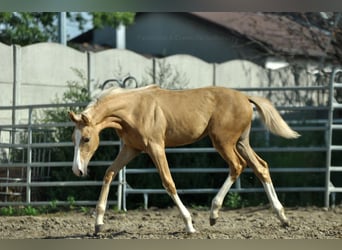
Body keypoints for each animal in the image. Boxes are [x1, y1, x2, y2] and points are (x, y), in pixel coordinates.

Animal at [68, 85, 298, 233]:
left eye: (86, 138)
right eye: (73, 138)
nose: (77, 170)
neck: (133, 109)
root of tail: (245, 98)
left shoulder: (156, 147)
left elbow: (168, 182)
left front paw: (189, 224)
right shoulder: (131, 149)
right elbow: (109, 173)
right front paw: (98, 224)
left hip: (223, 142)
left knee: (237, 166)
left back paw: (214, 213)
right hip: (241, 142)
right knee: (261, 167)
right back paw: (283, 217)